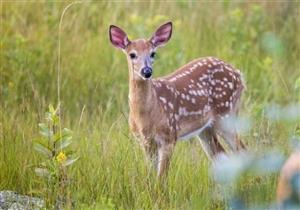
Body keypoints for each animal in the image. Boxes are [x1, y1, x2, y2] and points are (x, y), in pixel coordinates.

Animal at [109, 21, 245, 177]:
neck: (145, 116)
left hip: (226, 114)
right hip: (205, 128)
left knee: (242, 150)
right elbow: (150, 176)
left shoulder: (169, 135)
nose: (147, 71)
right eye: (132, 55)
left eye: (153, 53)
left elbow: (161, 177)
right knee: (221, 155)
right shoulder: (145, 141)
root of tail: (238, 74)